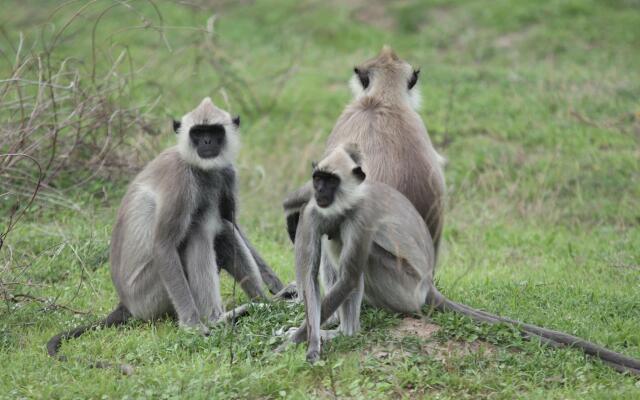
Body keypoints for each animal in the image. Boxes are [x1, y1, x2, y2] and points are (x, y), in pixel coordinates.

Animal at [284, 144, 640, 376]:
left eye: (331, 181)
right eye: (318, 179)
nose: (320, 191)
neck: (343, 204)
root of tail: (428, 285)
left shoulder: (362, 214)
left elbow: (347, 276)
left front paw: (300, 341)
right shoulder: (315, 211)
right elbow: (310, 276)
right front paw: (310, 337)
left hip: (402, 285)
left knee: (352, 254)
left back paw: (346, 332)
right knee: (334, 243)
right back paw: (331, 324)